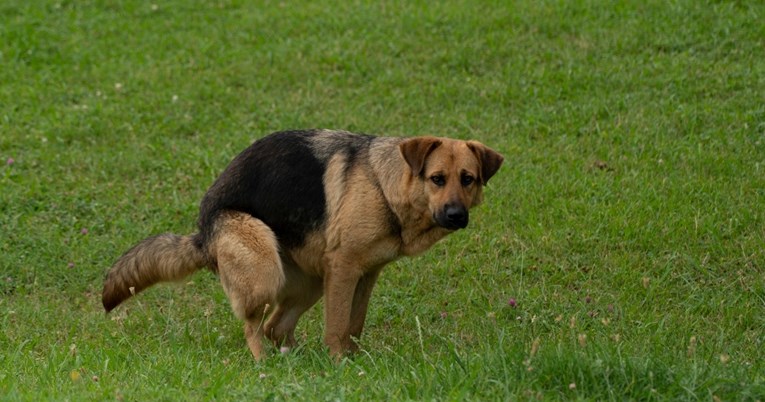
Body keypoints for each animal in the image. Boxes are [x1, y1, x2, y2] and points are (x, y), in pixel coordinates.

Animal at [104, 130, 504, 360]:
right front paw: (339, 365)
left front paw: (354, 362)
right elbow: (337, 326)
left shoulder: (366, 274)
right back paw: (265, 366)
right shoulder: (343, 269)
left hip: (308, 283)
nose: (456, 215)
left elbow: (354, 324)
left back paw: (295, 362)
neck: (384, 184)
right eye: (437, 179)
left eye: (468, 179)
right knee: (253, 327)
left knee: (275, 327)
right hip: (264, 268)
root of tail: (203, 234)